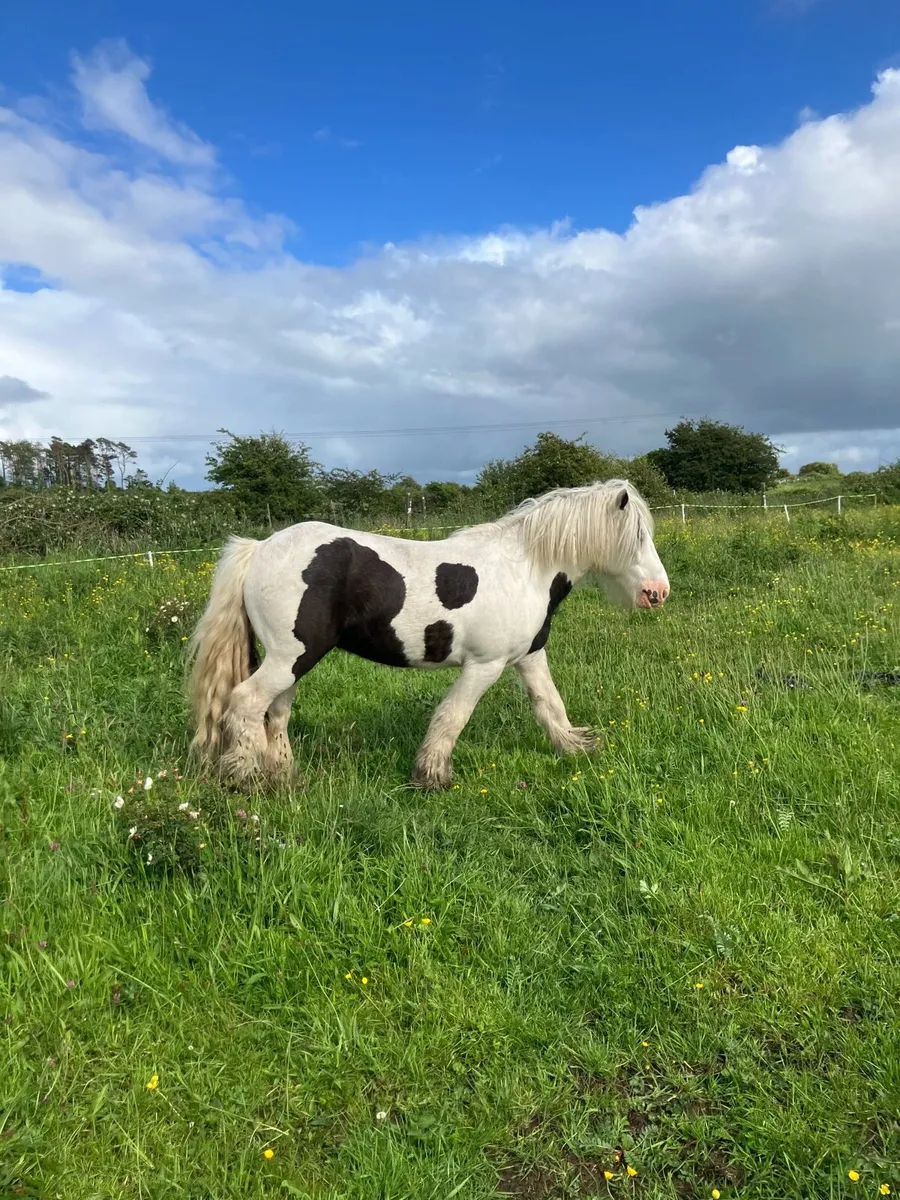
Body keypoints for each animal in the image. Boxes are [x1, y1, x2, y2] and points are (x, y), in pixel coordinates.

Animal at [187, 479, 669, 790]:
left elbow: (550, 705)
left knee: (276, 714)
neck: (527, 568)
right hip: (291, 657)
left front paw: (575, 748)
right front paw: (431, 776)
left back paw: (285, 776)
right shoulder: (485, 665)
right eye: (637, 537)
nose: (658, 592)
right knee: (247, 703)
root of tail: (259, 548)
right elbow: (453, 716)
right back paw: (247, 778)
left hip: (291, 660)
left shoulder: (529, 656)